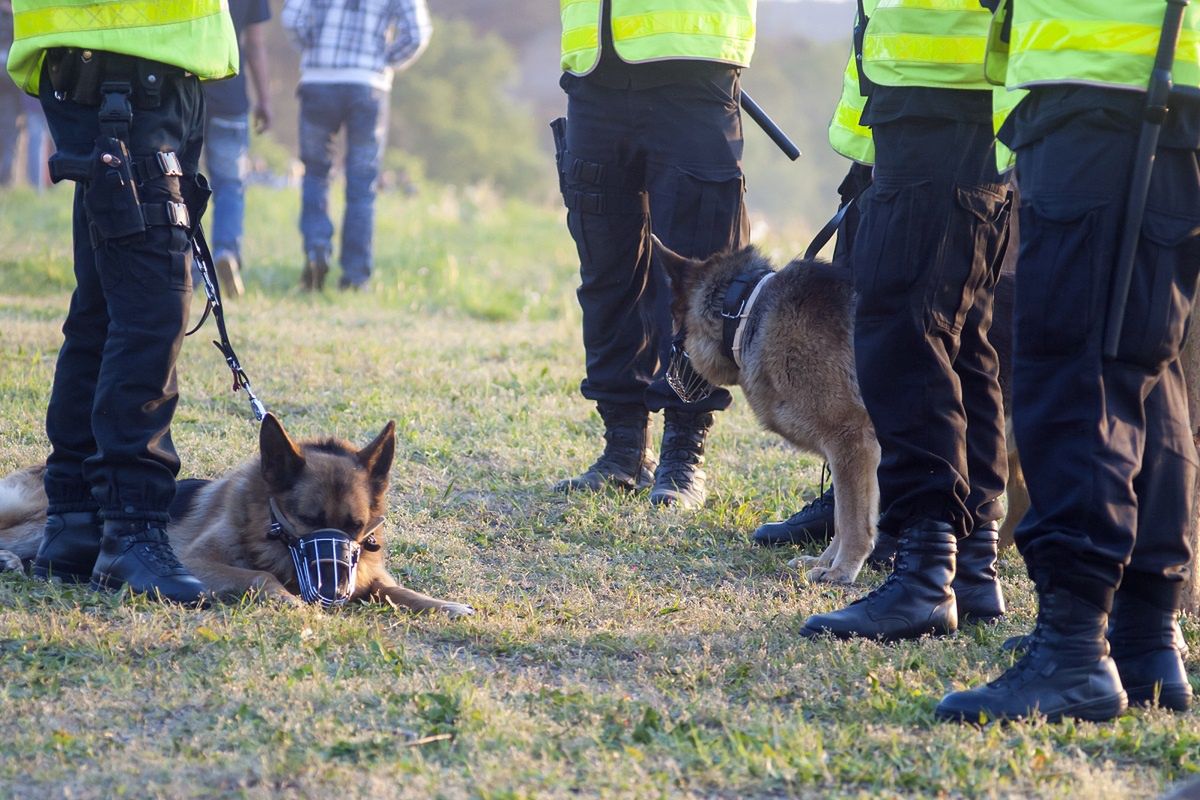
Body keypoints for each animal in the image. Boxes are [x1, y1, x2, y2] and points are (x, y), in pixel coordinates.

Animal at [0, 417, 475, 618]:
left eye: (357, 528)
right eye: (306, 518)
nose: (334, 593)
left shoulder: (370, 576)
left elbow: (398, 590)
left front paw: (442, 604)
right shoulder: (197, 562)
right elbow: (259, 577)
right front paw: (291, 603)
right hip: (44, 520)